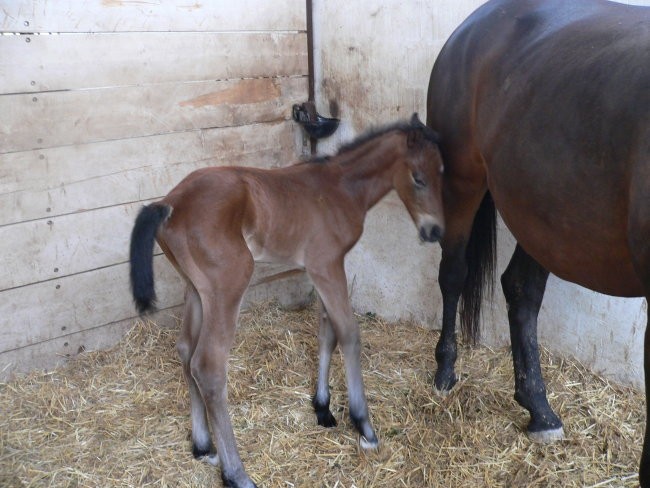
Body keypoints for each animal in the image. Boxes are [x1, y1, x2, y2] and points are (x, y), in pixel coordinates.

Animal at [129, 112, 442, 486]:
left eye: (443, 172)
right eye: (418, 178)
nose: (435, 232)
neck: (339, 188)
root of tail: (170, 204)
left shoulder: (320, 269)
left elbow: (326, 332)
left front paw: (322, 407)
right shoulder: (327, 265)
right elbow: (349, 334)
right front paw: (363, 425)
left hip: (195, 288)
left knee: (186, 351)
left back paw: (203, 447)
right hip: (228, 284)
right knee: (208, 366)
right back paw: (236, 473)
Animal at [426, 0, 648, 482]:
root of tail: (471, 25)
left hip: (539, 213)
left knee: (520, 289)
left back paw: (540, 411)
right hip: (462, 181)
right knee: (453, 275)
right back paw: (445, 373)